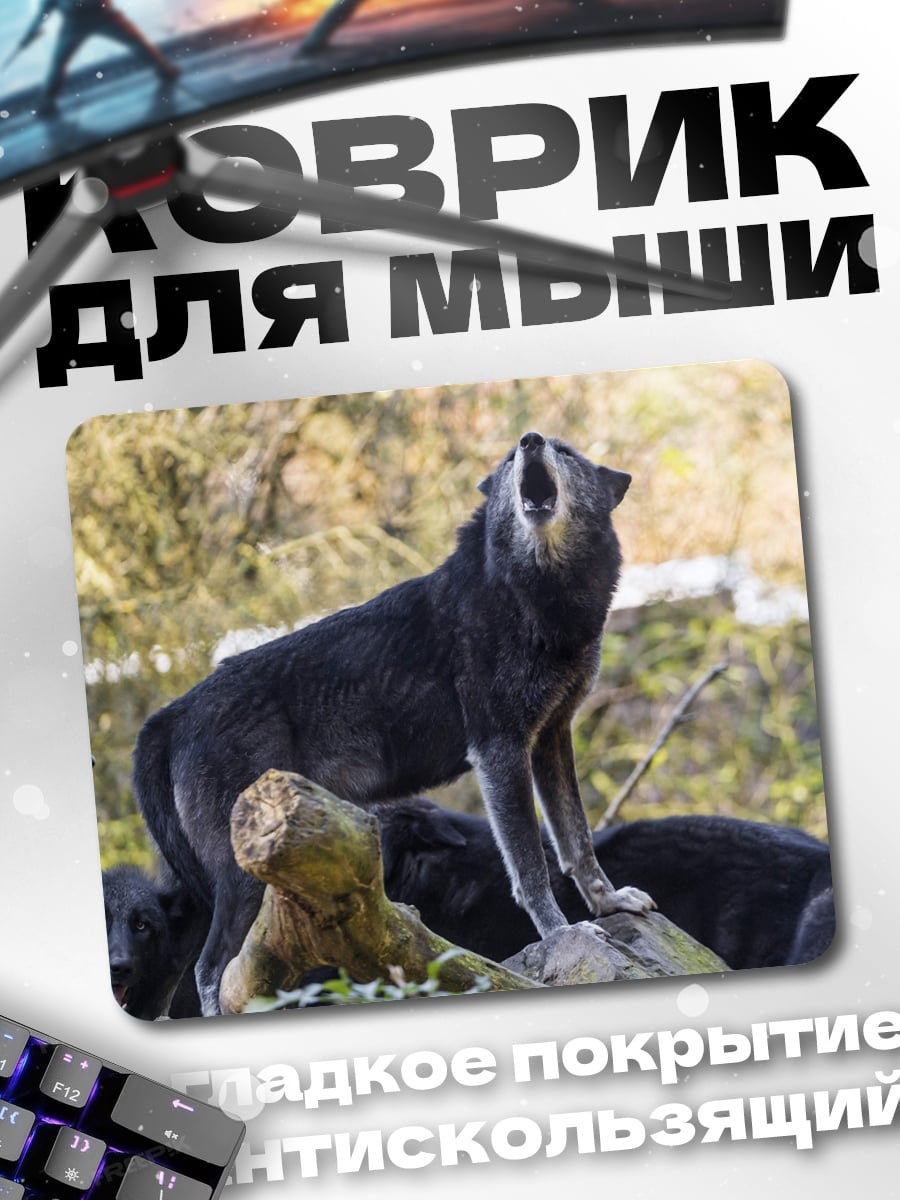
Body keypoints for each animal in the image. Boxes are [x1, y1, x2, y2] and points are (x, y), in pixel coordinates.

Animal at [133, 431, 653, 1015]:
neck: (533, 595)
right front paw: (563, 935)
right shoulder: (499, 750)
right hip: (241, 875)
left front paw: (609, 903)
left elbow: (577, 842)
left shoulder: (550, 738)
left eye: (565, 451)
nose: (530, 440)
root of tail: (171, 714)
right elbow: (530, 867)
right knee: (213, 966)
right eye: (507, 459)